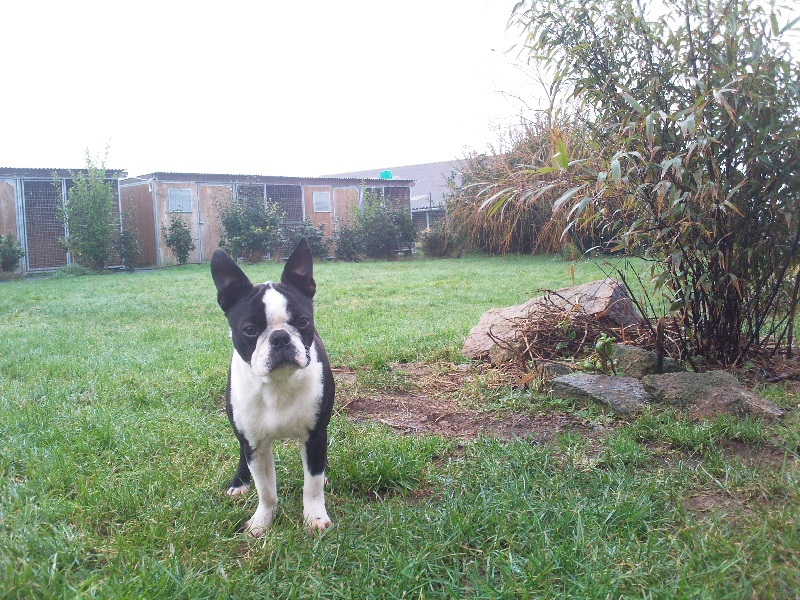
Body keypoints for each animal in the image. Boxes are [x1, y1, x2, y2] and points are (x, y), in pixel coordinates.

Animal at [211, 239, 334, 536]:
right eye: (249, 329)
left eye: (303, 321)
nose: (280, 338)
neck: (278, 384)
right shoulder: (255, 444)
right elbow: (265, 490)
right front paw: (262, 522)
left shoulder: (315, 436)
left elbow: (312, 484)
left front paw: (314, 517)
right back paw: (239, 482)